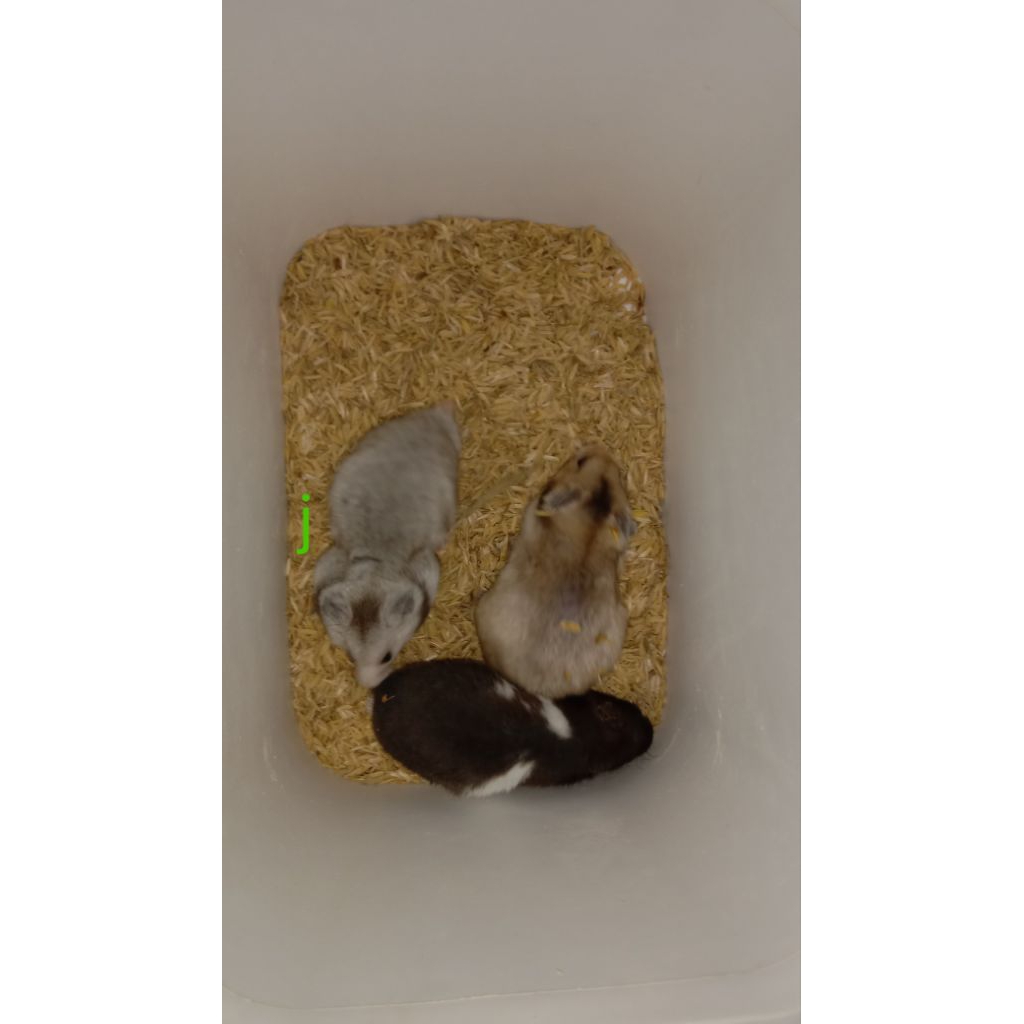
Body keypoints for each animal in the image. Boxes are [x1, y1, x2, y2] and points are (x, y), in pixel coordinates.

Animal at [314, 403, 461, 688]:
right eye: (351, 656)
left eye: (387, 657)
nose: (368, 685)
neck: (375, 564)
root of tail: (434, 417)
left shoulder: (428, 567)